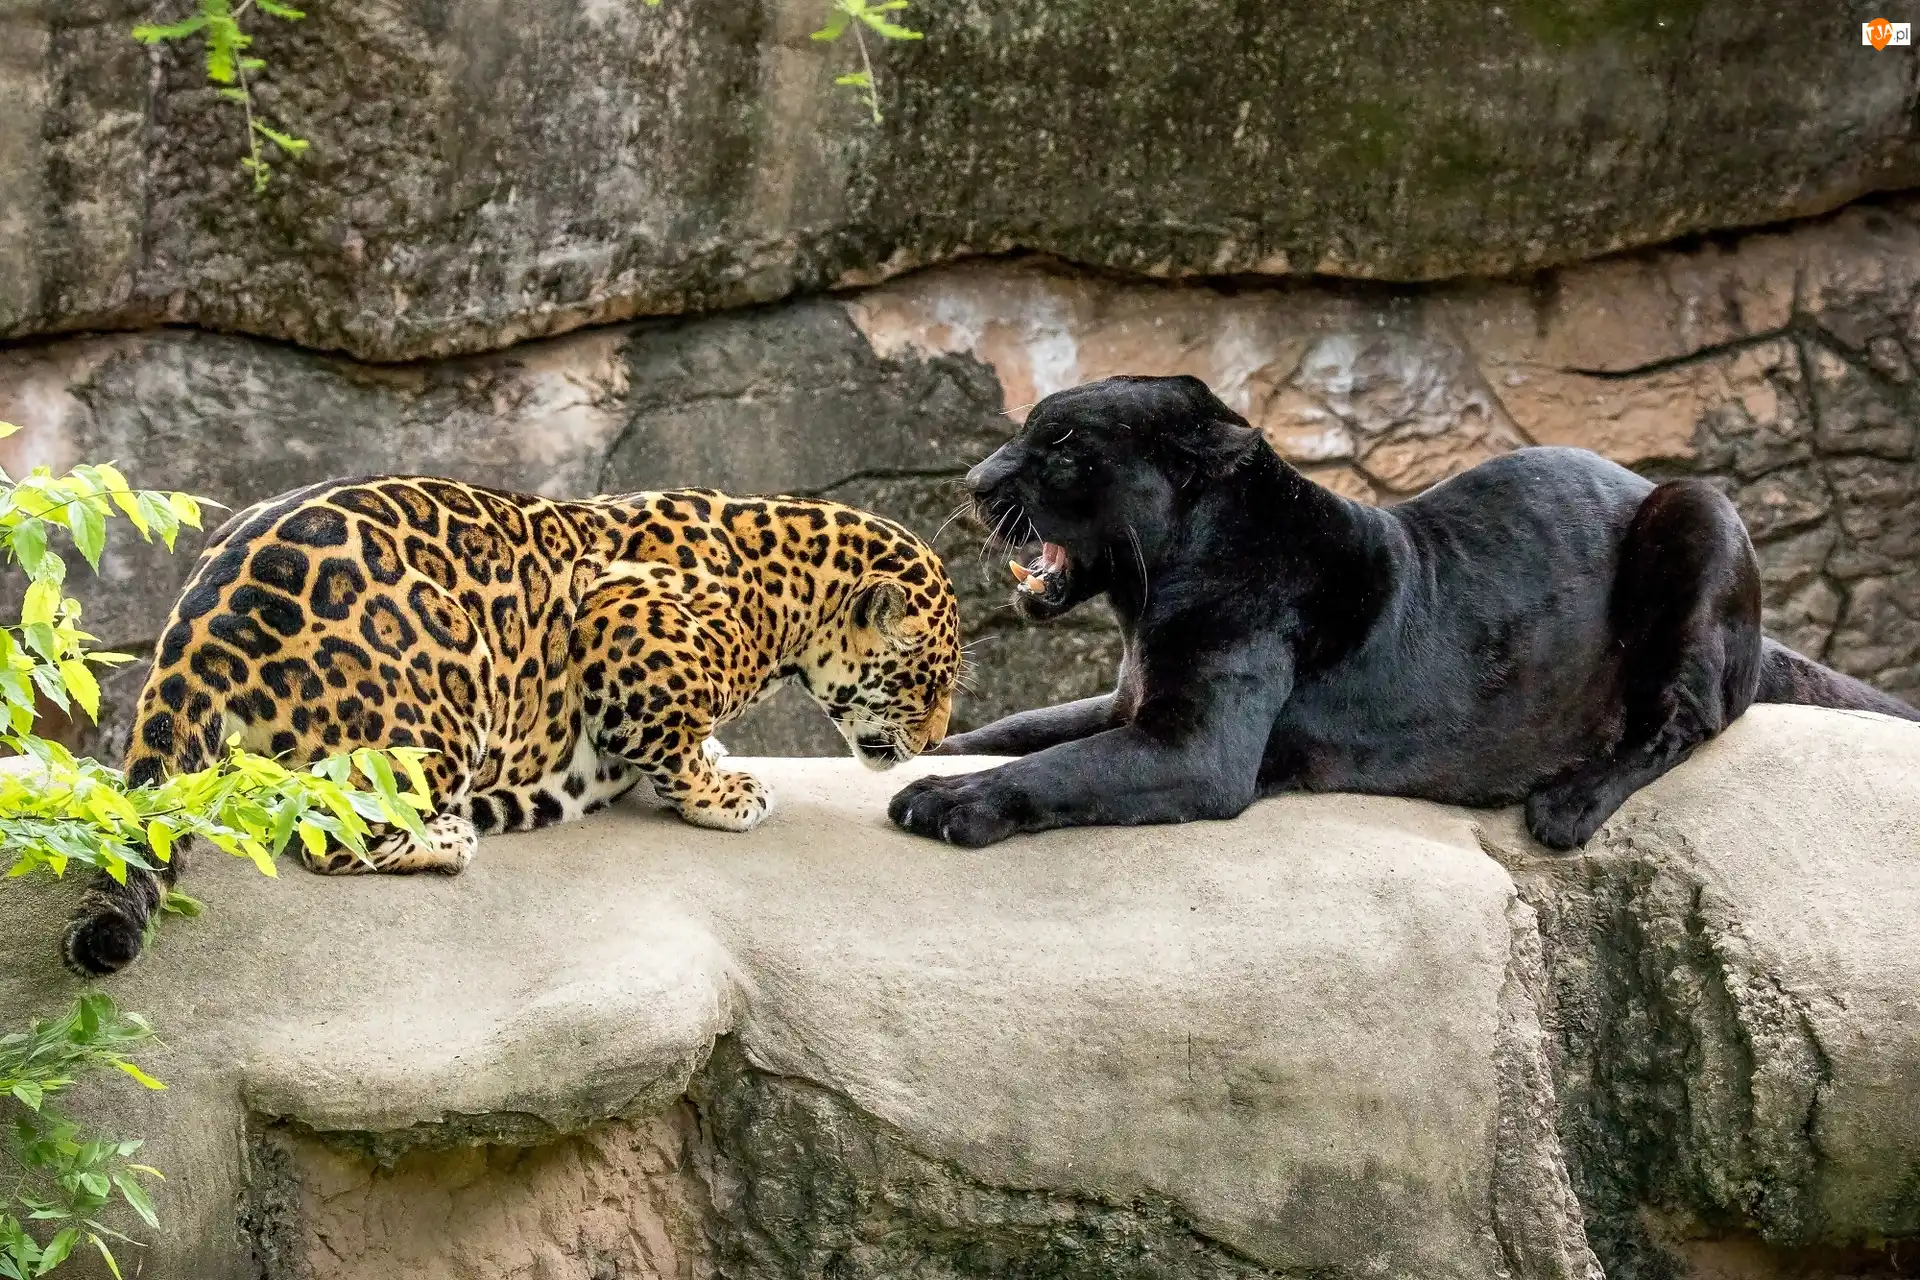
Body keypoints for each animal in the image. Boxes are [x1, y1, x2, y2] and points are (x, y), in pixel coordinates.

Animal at [63, 476, 961, 977]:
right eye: (930, 684)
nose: (933, 743)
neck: (788, 594)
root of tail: (200, 621)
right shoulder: (624, 623)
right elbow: (667, 733)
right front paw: (721, 793)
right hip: (445, 680)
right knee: (332, 830)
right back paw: (447, 838)